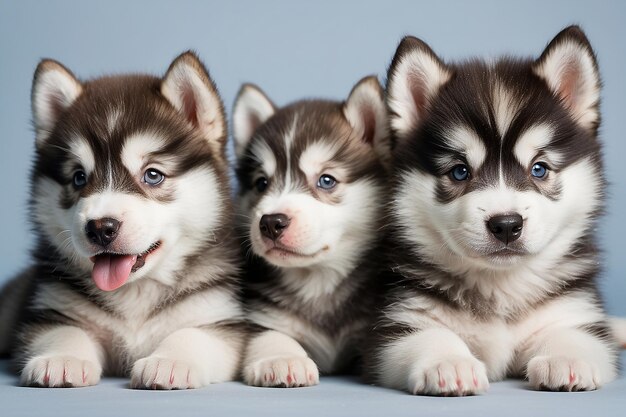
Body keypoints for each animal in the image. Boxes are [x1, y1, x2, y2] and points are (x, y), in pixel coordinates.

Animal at [0, 52, 246, 390]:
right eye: (78, 178)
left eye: (153, 175)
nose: (100, 228)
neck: (135, 293)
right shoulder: (50, 309)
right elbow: (65, 330)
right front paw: (63, 357)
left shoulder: (217, 316)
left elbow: (192, 335)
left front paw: (169, 361)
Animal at [233, 75, 390, 386]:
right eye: (261, 183)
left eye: (326, 180)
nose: (271, 222)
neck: (318, 281)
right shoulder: (258, 313)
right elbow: (270, 334)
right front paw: (281, 358)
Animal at [368, 26, 616, 394]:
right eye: (459, 172)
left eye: (539, 169)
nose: (507, 224)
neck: (500, 287)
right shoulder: (400, 319)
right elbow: (427, 335)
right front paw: (448, 362)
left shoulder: (576, 311)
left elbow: (576, 334)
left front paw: (566, 357)